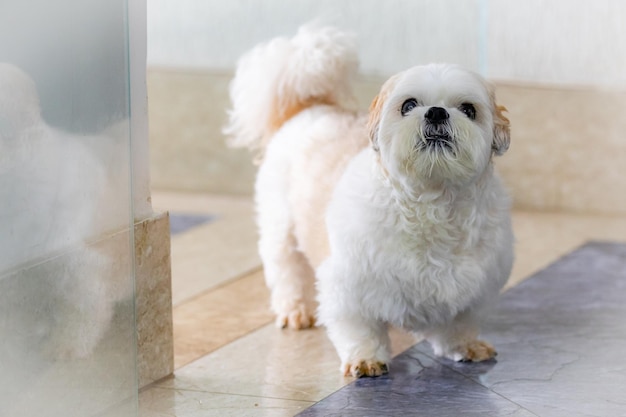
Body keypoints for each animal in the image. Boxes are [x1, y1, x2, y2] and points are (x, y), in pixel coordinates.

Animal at [224, 25, 512, 376]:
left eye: (469, 109)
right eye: (408, 105)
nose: (436, 112)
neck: (432, 203)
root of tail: (310, 106)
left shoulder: (473, 288)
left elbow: (459, 325)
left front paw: (466, 346)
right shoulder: (350, 284)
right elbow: (359, 328)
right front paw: (366, 359)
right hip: (281, 229)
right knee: (287, 271)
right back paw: (296, 311)